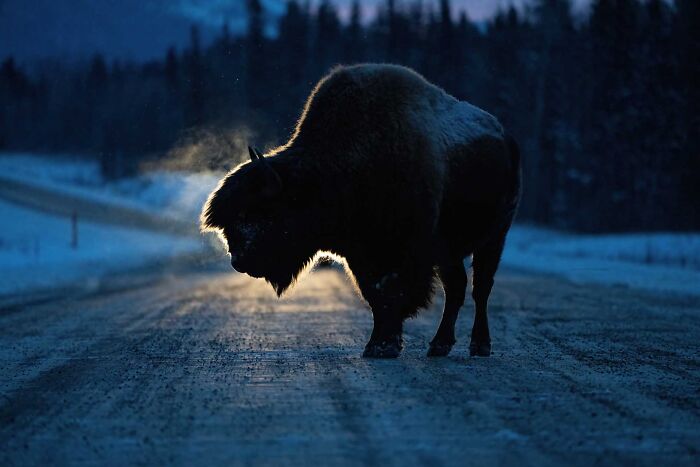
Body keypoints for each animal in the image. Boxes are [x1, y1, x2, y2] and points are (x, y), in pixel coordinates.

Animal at [201, 64, 520, 358]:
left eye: (257, 213)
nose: (238, 261)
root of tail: (505, 136)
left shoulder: (405, 254)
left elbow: (392, 293)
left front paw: (384, 345)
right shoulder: (362, 257)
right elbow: (375, 297)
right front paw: (378, 345)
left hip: (495, 238)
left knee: (481, 288)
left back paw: (480, 345)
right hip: (449, 252)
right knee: (456, 288)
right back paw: (439, 345)